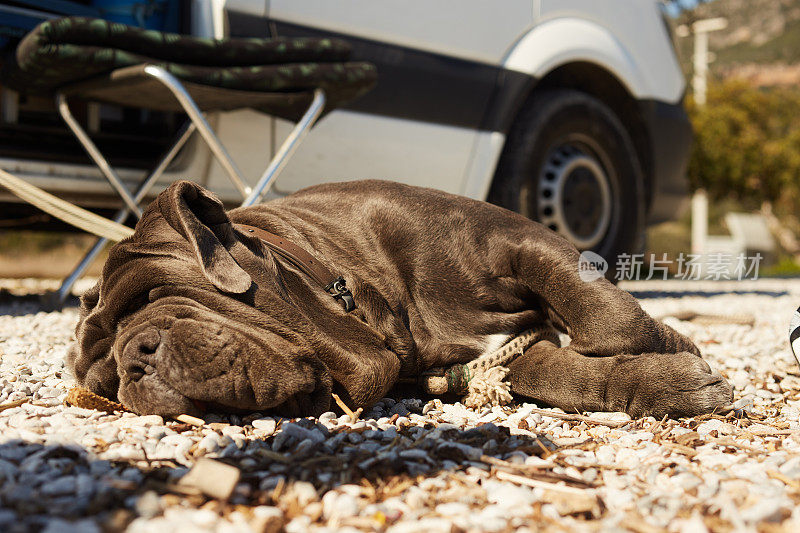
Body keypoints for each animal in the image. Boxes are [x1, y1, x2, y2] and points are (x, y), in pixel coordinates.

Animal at [67, 181, 732, 418]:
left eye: (158, 295)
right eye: (103, 383)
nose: (133, 360)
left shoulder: (519, 238)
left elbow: (604, 316)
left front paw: (669, 349)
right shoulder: (486, 362)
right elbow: (562, 372)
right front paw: (664, 381)